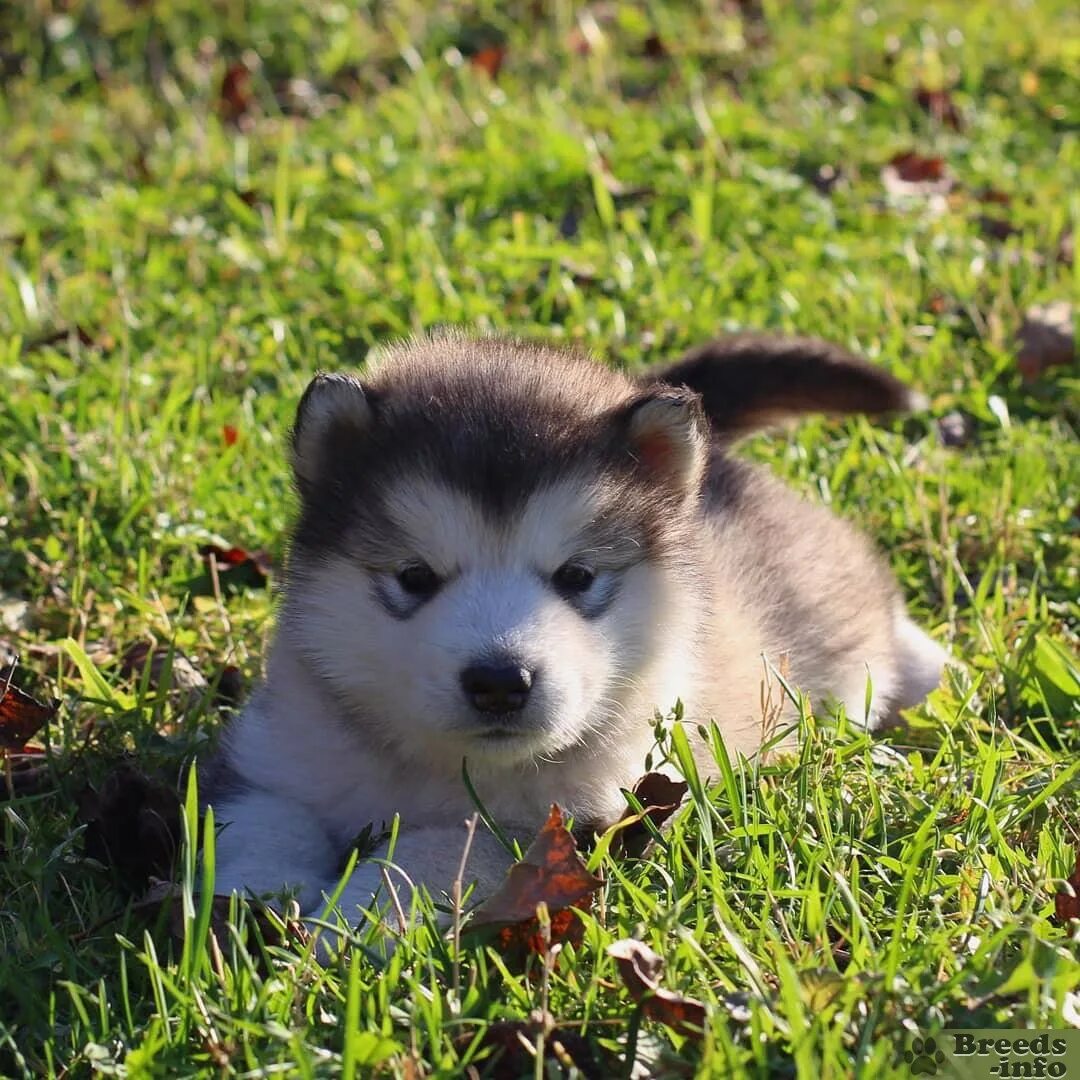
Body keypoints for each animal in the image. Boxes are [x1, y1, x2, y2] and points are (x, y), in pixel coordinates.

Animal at [203, 330, 946, 928]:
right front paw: (256, 895)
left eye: (578, 576)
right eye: (414, 576)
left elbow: (440, 848)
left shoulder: (579, 818)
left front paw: (358, 915)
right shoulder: (278, 751)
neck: (439, 763)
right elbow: (260, 816)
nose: (500, 682)